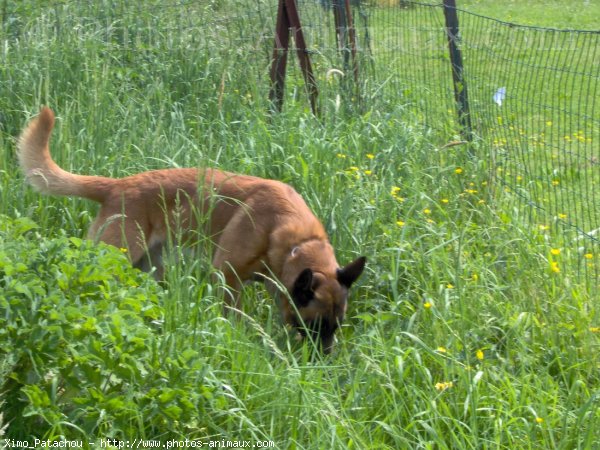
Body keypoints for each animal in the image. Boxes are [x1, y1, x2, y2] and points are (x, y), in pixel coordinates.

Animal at [17, 108, 366, 352]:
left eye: (336, 327)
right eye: (316, 326)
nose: (324, 360)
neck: (295, 239)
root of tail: (116, 186)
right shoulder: (226, 276)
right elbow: (234, 317)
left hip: (148, 269)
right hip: (111, 259)